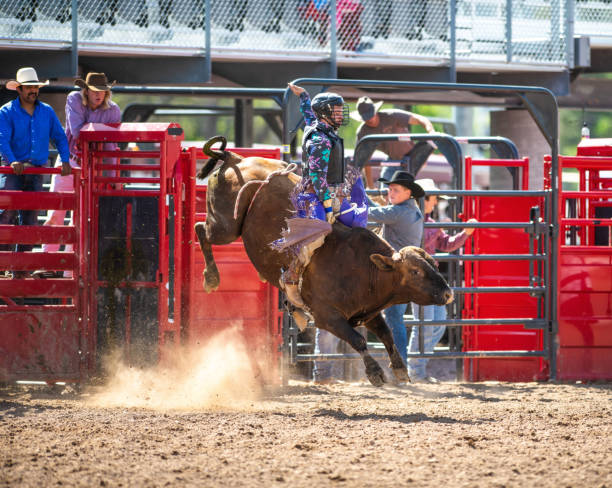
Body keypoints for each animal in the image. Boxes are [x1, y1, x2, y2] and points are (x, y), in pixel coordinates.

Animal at [194, 134, 452, 386]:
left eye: (434, 264)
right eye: (416, 271)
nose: (448, 293)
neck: (364, 268)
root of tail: (236, 159)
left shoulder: (368, 311)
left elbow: (387, 334)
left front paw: (399, 368)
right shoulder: (326, 316)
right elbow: (358, 340)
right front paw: (375, 372)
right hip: (225, 228)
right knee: (200, 229)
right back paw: (211, 277)